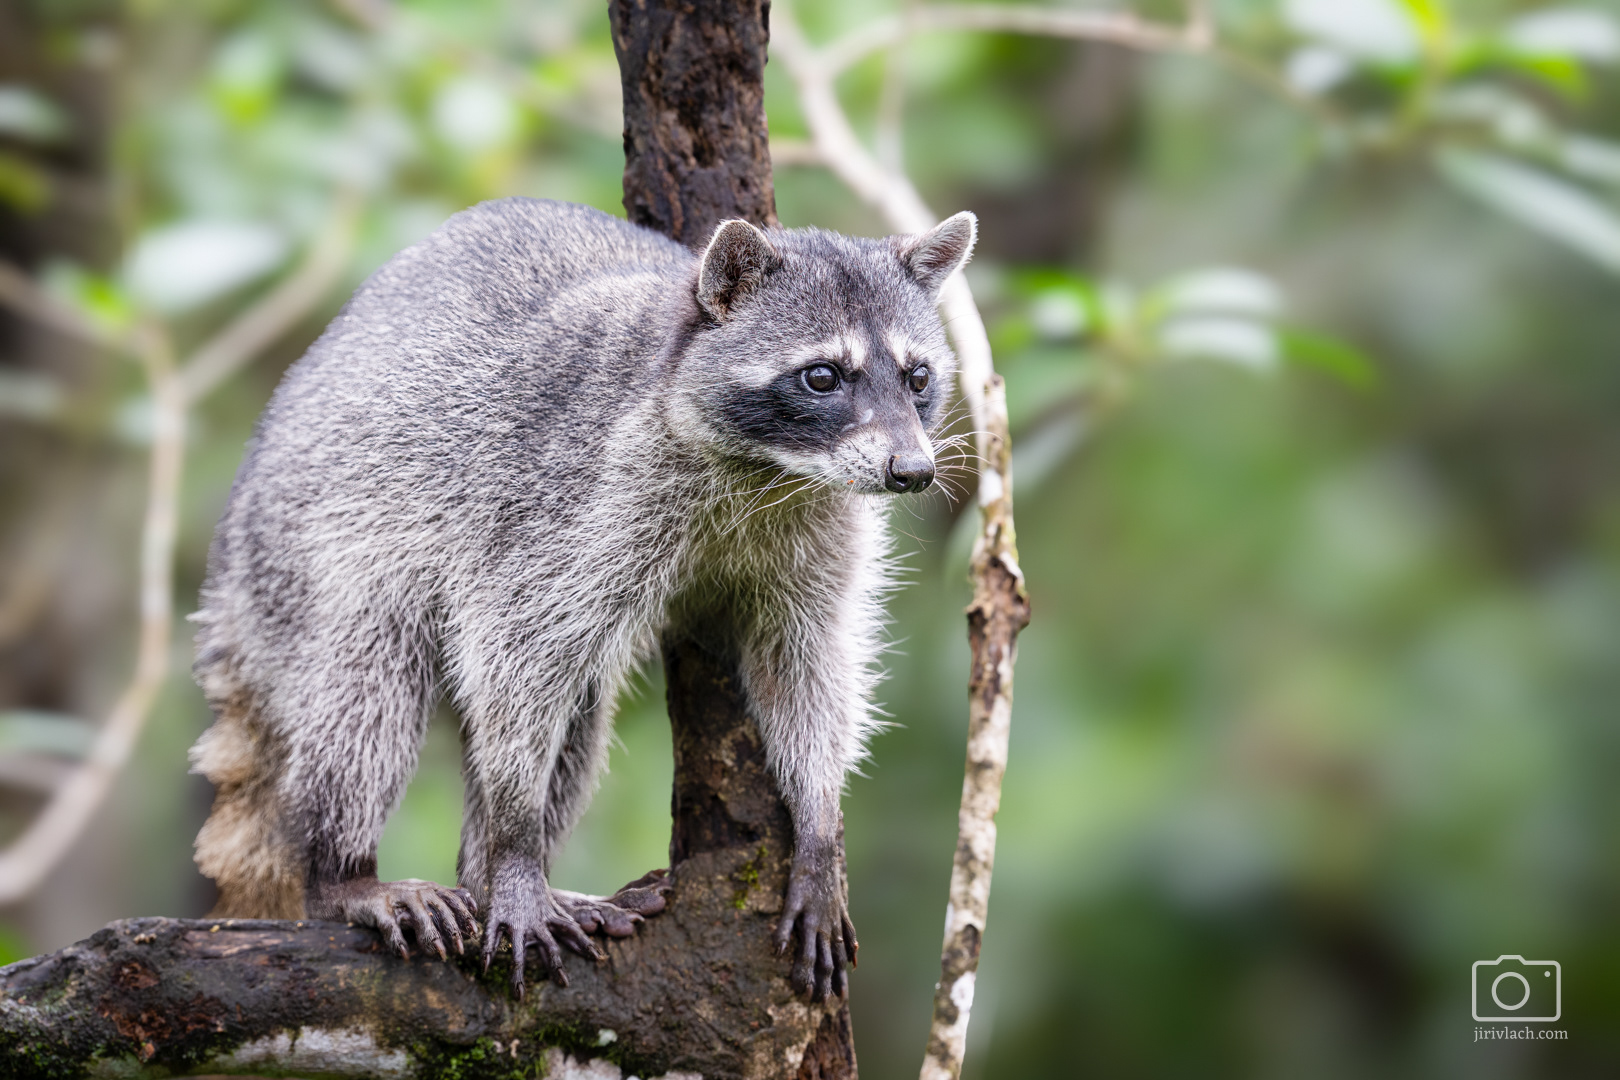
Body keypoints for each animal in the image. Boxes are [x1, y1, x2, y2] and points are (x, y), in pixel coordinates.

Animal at [189, 197, 976, 1000]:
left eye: (917, 377)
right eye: (822, 377)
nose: (913, 471)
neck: (770, 469)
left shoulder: (820, 528)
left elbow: (808, 662)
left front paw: (820, 823)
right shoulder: (570, 495)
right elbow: (516, 654)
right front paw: (512, 844)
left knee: (579, 713)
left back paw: (481, 879)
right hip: (314, 548)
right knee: (366, 693)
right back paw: (350, 873)